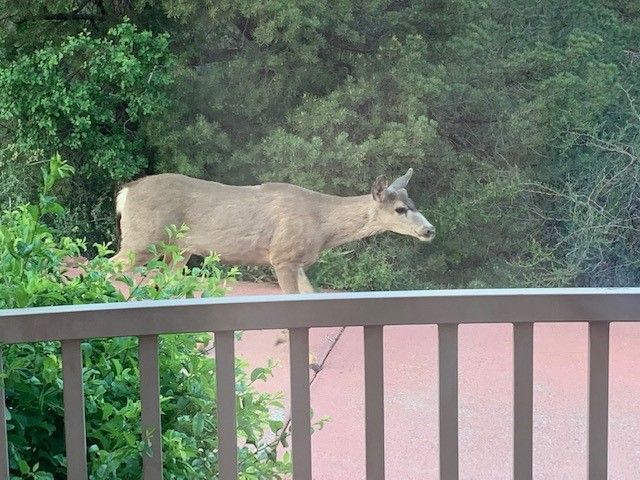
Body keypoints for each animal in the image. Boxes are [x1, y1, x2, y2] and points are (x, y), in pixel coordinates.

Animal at [111, 168, 435, 293]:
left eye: (413, 202)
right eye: (400, 209)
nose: (430, 230)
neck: (321, 222)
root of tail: (126, 193)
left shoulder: (298, 261)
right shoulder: (282, 256)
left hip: (179, 249)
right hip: (143, 238)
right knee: (108, 265)